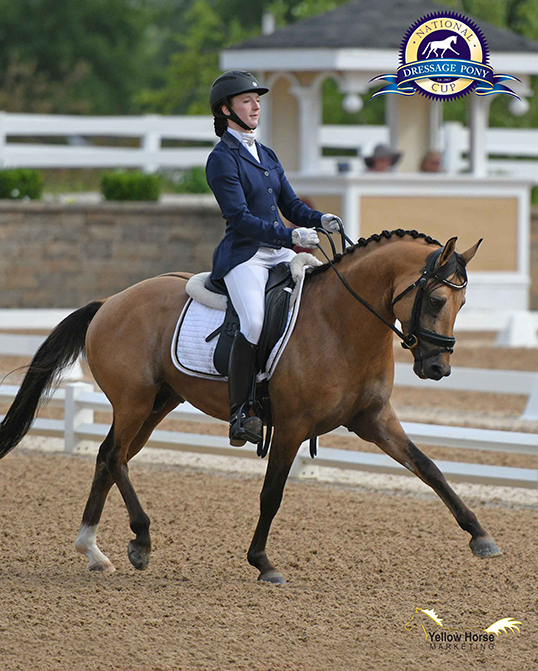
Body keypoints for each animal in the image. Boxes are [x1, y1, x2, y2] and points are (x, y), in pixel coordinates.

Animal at [0, 229, 502, 584]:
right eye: (436, 299)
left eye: (463, 303)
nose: (438, 368)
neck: (341, 323)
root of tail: (111, 301)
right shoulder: (293, 426)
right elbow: (271, 494)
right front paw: (263, 562)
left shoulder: (375, 420)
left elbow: (429, 468)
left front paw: (480, 536)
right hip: (134, 401)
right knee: (114, 457)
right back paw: (139, 539)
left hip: (157, 403)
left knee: (110, 457)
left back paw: (94, 552)